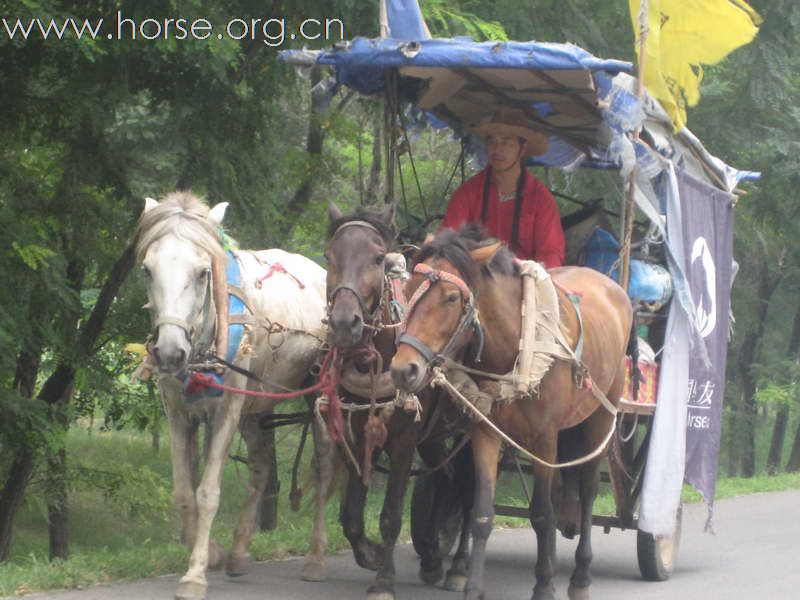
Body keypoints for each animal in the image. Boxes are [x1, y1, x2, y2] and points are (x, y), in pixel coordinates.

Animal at [137, 193, 334, 600]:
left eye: (202, 273)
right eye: (148, 270)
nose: (169, 352)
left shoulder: (226, 409)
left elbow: (207, 492)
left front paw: (195, 574)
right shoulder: (178, 412)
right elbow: (184, 492)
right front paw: (211, 551)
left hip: (317, 393)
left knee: (323, 466)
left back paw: (315, 559)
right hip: (254, 407)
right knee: (260, 466)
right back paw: (240, 552)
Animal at [324, 204, 476, 596]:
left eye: (378, 258)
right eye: (330, 256)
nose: (345, 323)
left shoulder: (405, 440)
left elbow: (391, 515)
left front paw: (384, 580)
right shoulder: (360, 434)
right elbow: (350, 514)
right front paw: (371, 553)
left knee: (470, 492)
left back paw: (459, 566)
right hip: (435, 435)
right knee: (448, 481)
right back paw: (432, 556)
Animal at [390, 226, 636, 600]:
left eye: (450, 298)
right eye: (406, 290)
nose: (404, 369)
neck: (516, 344)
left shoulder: (544, 438)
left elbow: (541, 514)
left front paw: (544, 586)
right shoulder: (485, 431)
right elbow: (481, 512)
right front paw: (472, 585)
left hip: (601, 417)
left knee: (588, 489)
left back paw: (580, 577)